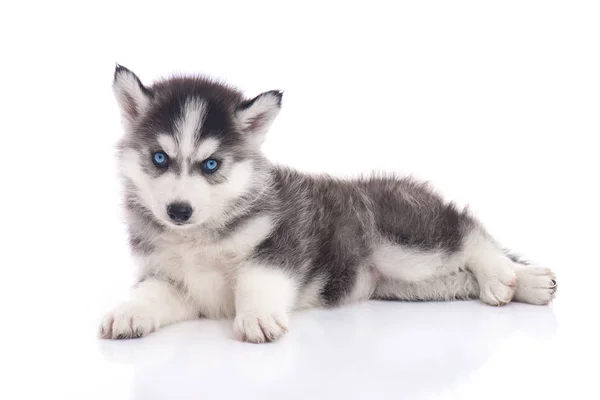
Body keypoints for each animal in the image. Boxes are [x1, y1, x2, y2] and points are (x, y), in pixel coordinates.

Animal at [99, 65, 556, 344]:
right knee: (460, 273)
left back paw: (508, 276)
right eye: (160, 158)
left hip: (407, 245)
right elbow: (152, 294)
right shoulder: (171, 279)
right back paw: (528, 284)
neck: (199, 238)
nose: (179, 211)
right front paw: (128, 312)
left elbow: (257, 280)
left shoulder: (282, 242)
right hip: (410, 283)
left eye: (211, 164)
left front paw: (257, 316)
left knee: (467, 231)